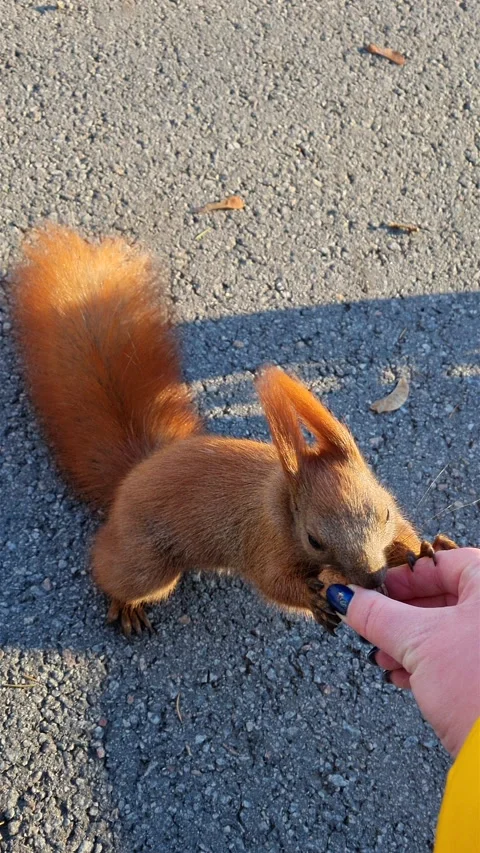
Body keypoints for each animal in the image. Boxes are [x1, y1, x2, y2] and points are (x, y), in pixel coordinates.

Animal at [12, 225, 457, 635]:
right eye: (313, 540)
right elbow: (274, 583)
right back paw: (125, 604)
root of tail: (139, 468)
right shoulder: (265, 541)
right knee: (111, 567)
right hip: (144, 559)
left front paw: (426, 548)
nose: (373, 578)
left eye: (385, 510)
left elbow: (404, 535)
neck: (283, 500)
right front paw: (314, 599)